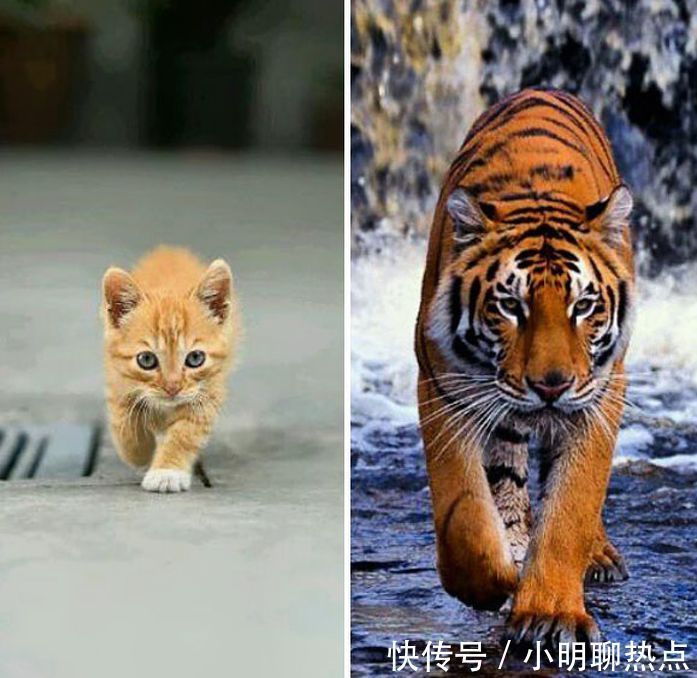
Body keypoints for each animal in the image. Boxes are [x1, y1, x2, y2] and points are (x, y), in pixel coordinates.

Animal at [414, 88, 635, 646]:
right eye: (511, 306)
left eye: (584, 306)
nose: (551, 386)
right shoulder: (443, 389)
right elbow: (465, 513)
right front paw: (493, 581)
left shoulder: (599, 396)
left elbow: (572, 506)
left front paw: (550, 613)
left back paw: (598, 556)